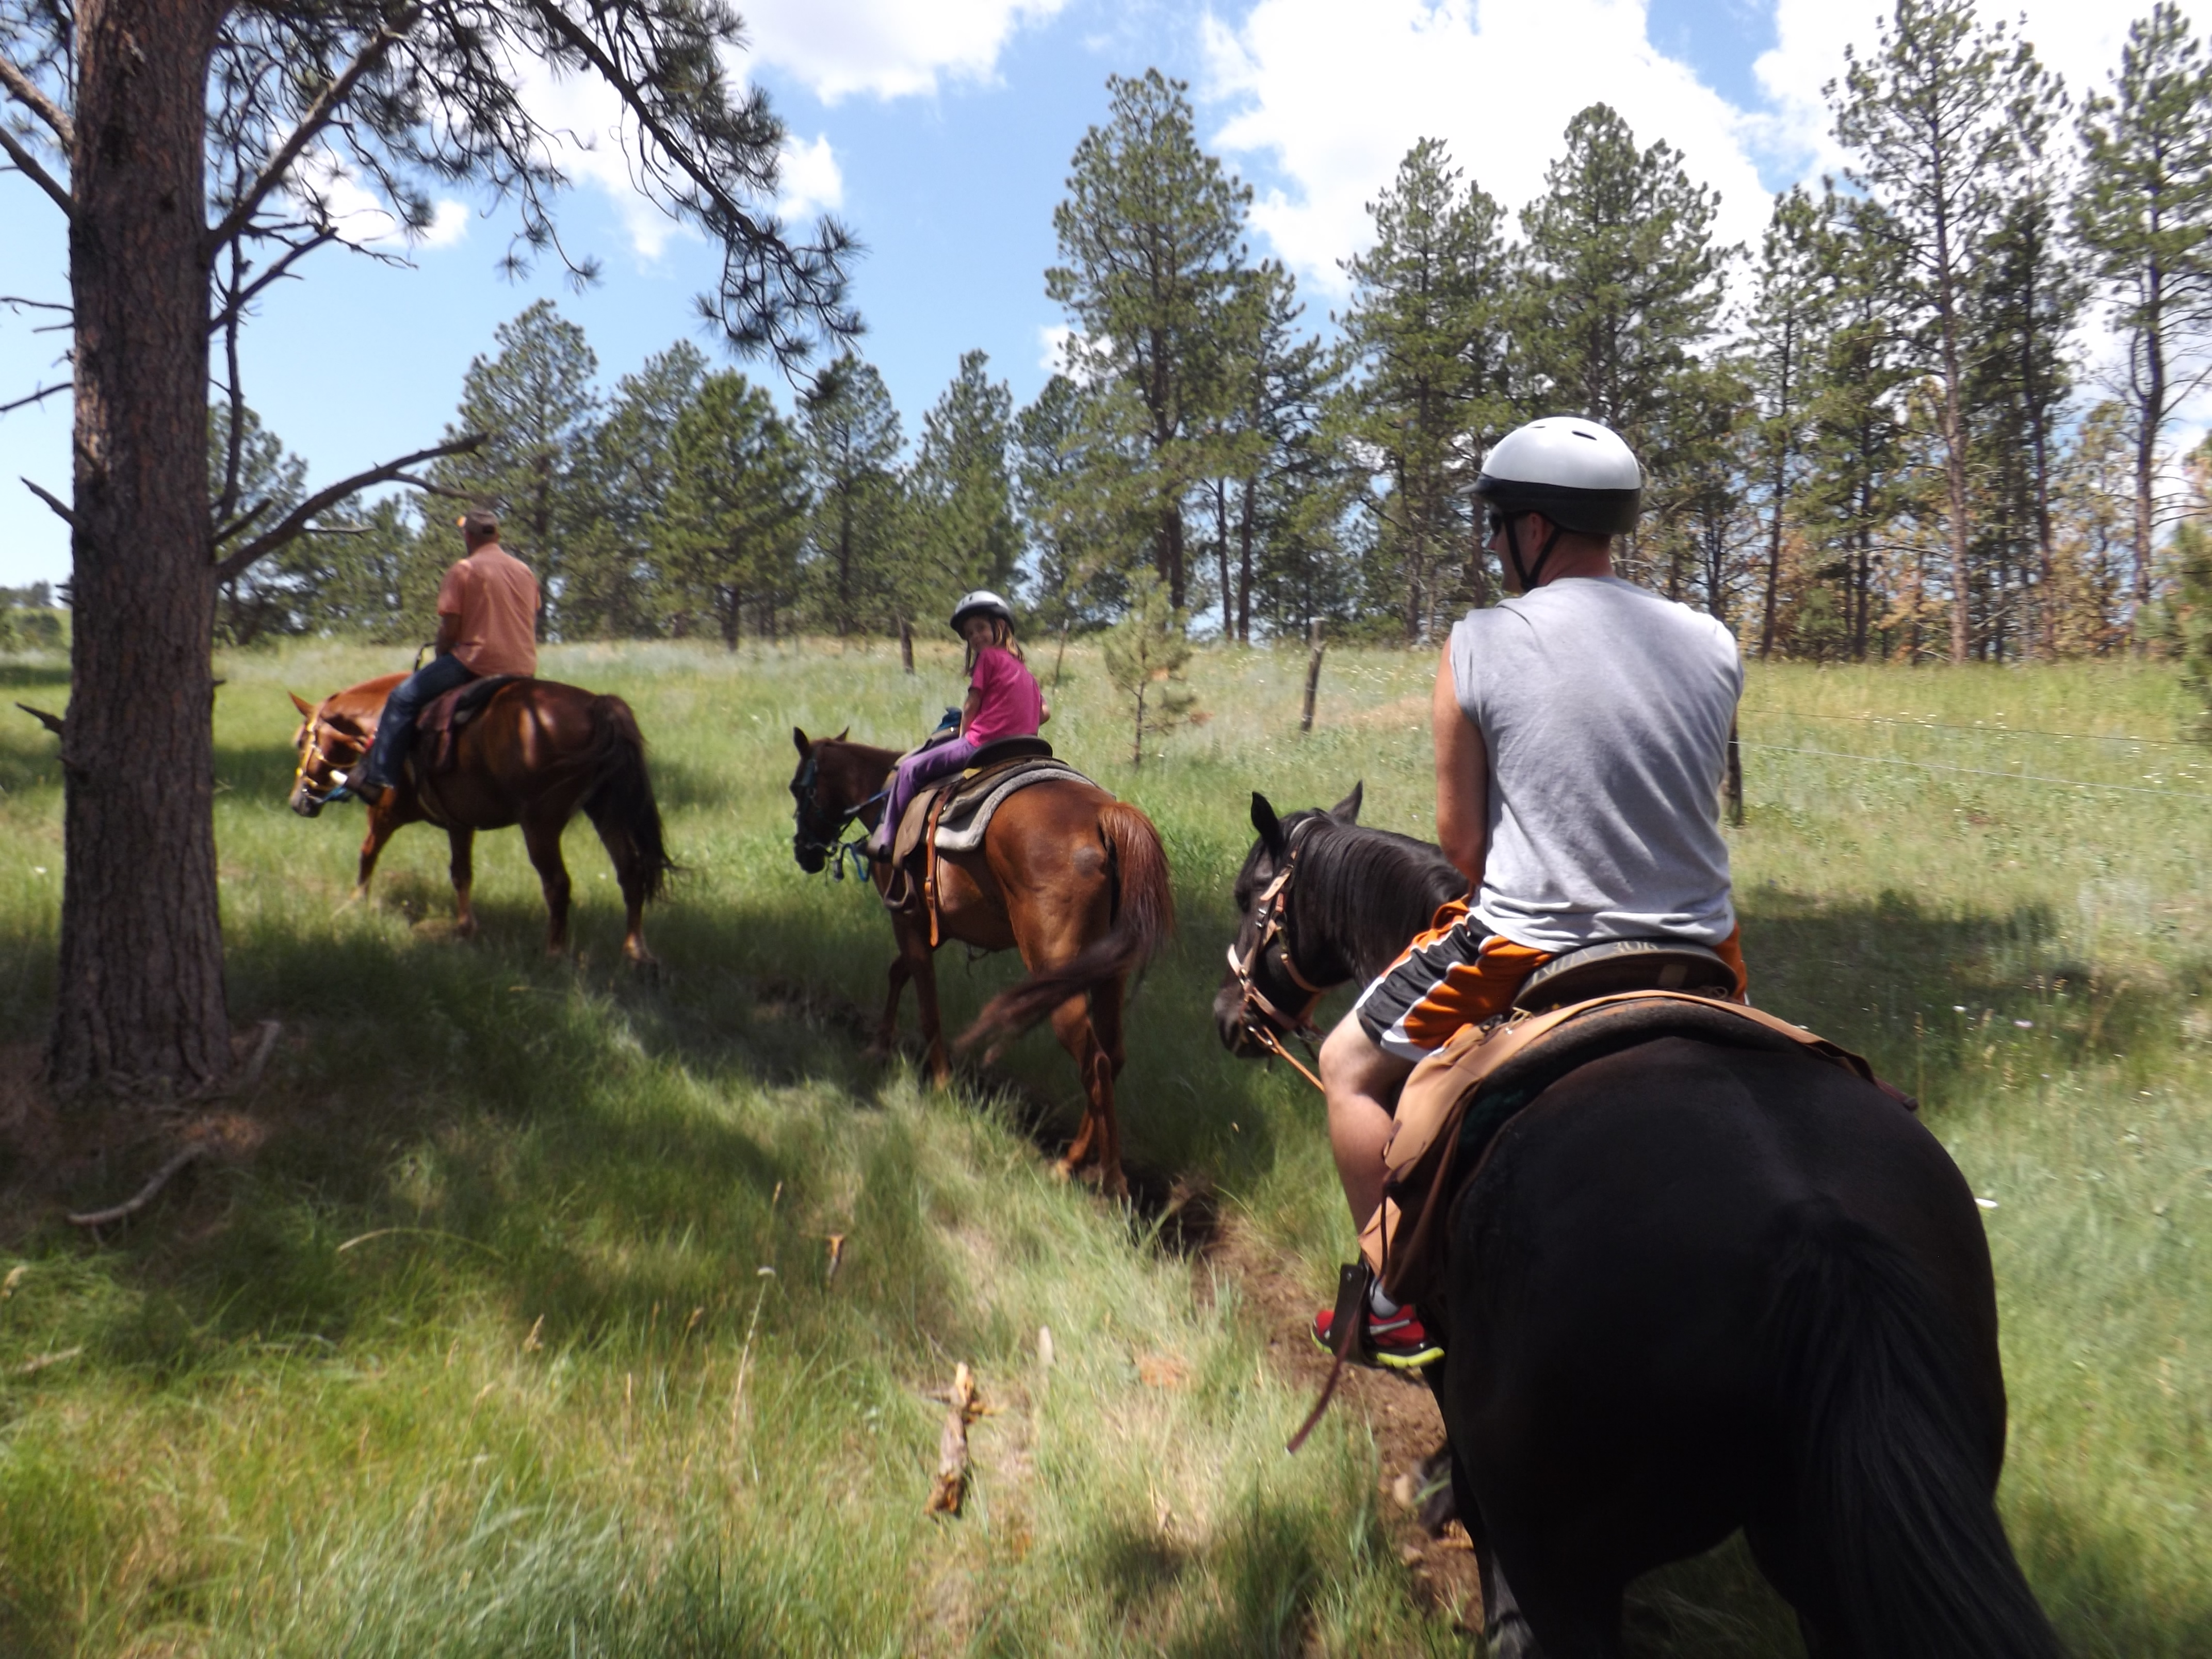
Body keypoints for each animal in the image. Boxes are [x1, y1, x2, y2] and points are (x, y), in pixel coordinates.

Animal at [289, 673, 675, 968]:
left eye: (302, 741)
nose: (296, 802)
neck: (379, 724)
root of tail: (599, 706)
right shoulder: (459, 823)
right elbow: (462, 873)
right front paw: (464, 929)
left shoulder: (384, 812)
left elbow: (367, 853)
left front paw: (356, 902)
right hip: (606, 812)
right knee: (631, 873)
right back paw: (637, 952)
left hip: (541, 825)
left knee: (558, 885)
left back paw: (554, 953)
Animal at [789, 729, 1172, 1196]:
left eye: (797, 788)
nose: (804, 854)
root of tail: (1106, 816)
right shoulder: (933, 927)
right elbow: (899, 973)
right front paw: (880, 1046)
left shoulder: (907, 919)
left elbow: (928, 1006)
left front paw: (940, 1082)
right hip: (1107, 974)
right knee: (1113, 1056)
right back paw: (1078, 1161)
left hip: (1057, 976)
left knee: (1095, 1062)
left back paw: (1103, 1174)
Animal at [1218, 788, 2060, 1659]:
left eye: (1248, 899)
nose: (1228, 1018)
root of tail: (1824, 1245)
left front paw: (1434, 1483)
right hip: (1828, 1566)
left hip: (1566, 1556)